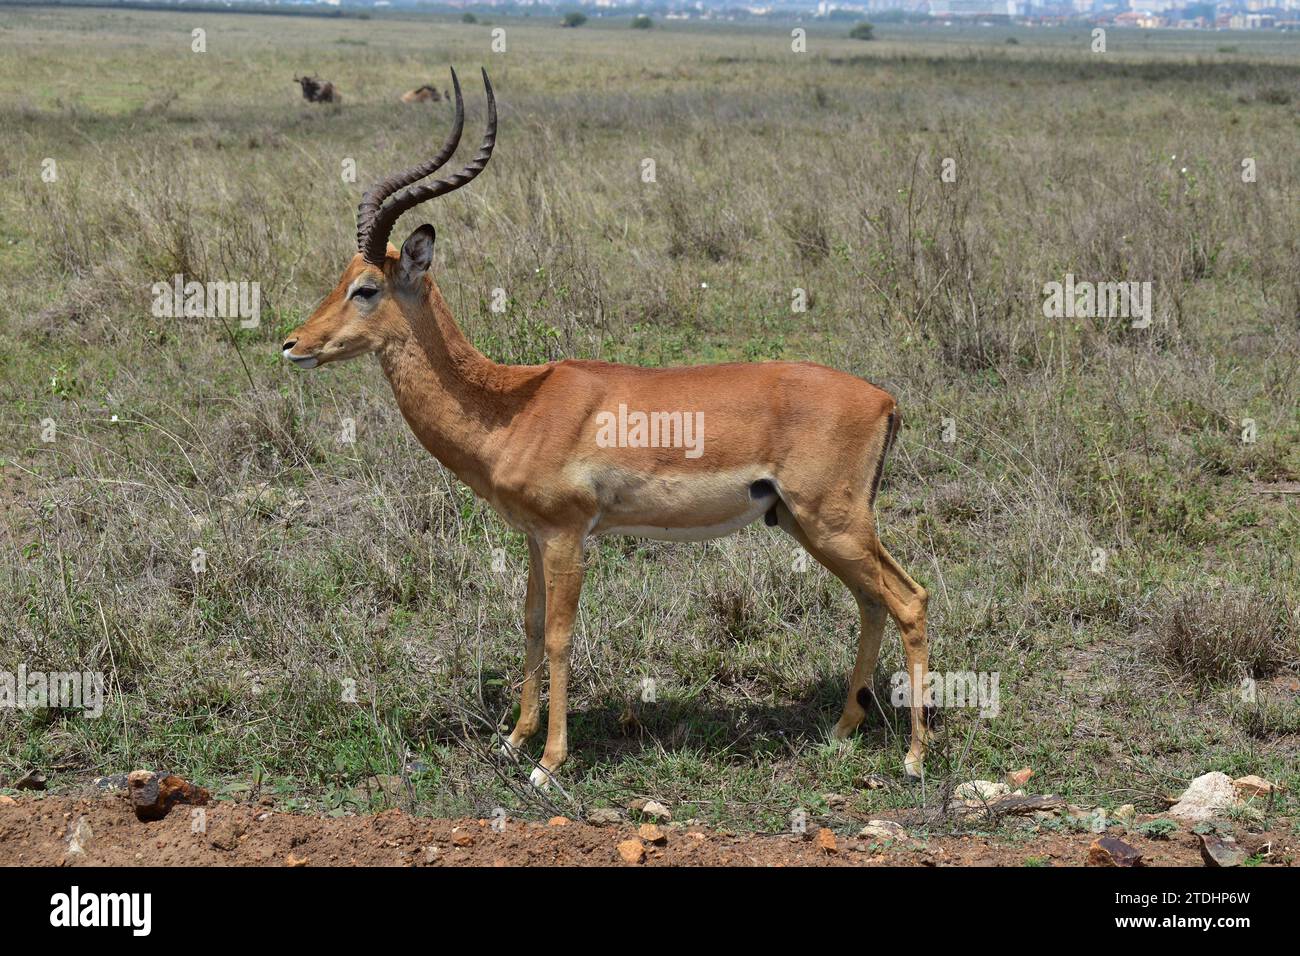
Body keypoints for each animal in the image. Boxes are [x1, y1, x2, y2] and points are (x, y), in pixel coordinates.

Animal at [281, 68, 931, 788]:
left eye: (366, 288)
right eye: (340, 277)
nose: (293, 344)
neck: (514, 405)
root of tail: (884, 399)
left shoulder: (569, 535)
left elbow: (561, 634)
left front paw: (549, 762)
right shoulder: (535, 536)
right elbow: (530, 623)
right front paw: (513, 740)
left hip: (833, 521)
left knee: (910, 599)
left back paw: (914, 755)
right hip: (806, 524)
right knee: (873, 602)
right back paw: (841, 731)